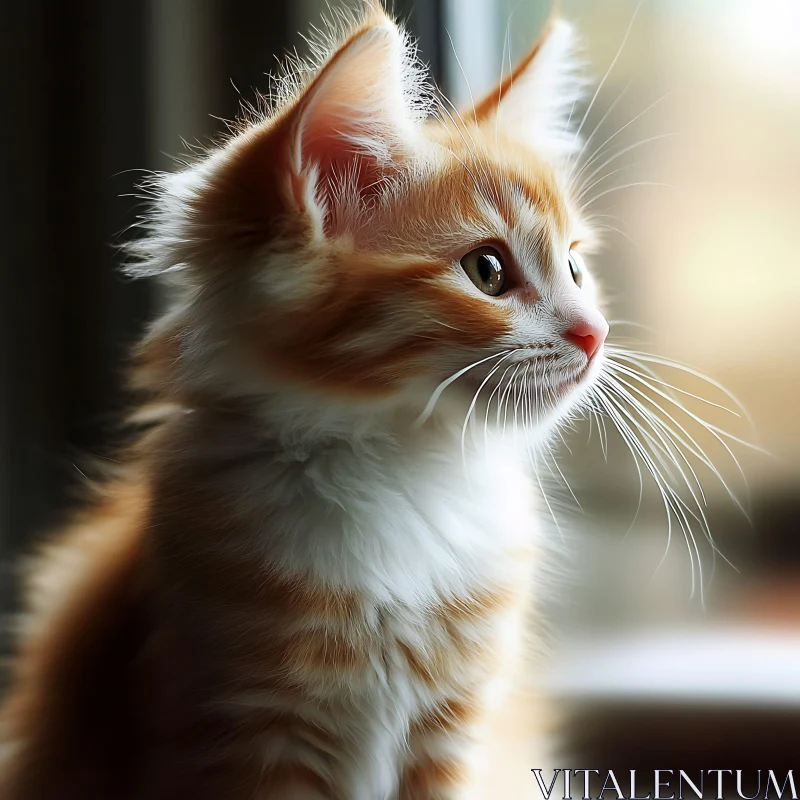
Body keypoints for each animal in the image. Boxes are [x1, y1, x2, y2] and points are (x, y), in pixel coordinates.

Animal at [0, 6, 608, 800]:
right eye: (487, 270)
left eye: (574, 267)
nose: (595, 334)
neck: (406, 471)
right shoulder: (242, 725)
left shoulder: (456, 729)